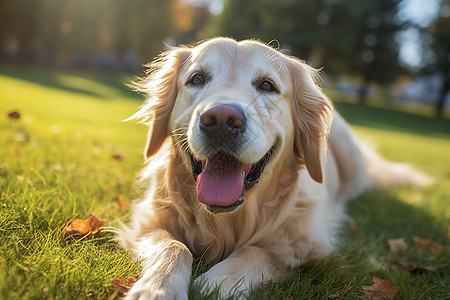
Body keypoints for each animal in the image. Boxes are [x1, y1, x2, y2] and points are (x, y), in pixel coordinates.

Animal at [118, 37, 430, 298]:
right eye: (197, 79)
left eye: (267, 85)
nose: (221, 120)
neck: (227, 221)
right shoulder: (149, 222)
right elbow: (174, 247)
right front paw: (157, 289)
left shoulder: (306, 245)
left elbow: (255, 251)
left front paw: (219, 280)